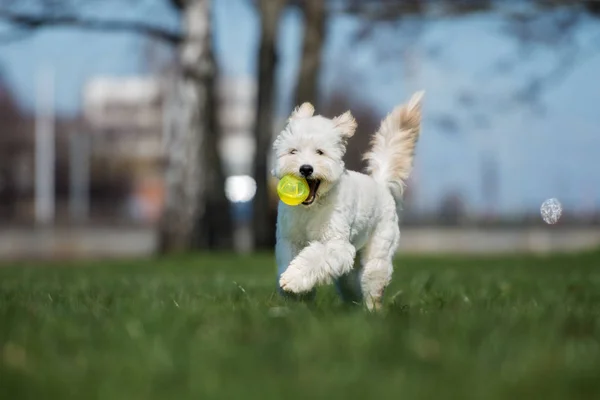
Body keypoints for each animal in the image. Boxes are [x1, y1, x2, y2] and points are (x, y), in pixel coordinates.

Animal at [270, 90, 424, 310]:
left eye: (320, 152)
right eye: (293, 151)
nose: (306, 168)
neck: (311, 208)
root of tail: (380, 184)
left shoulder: (337, 245)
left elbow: (314, 258)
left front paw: (293, 279)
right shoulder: (289, 240)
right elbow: (290, 258)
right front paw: (297, 295)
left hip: (378, 252)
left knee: (373, 280)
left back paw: (372, 309)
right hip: (349, 275)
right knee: (350, 284)